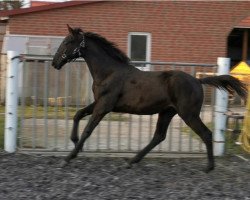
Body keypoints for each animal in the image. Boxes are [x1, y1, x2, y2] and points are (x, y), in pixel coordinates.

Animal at [51, 25, 247, 172]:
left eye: (67, 42)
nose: (54, 63)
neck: (109, 72)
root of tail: (198, 81)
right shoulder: (99, 103)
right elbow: (78, 114)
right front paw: (74, 141)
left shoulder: (104, 106)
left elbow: (88, 130)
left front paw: (69, 157)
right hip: (167, 112)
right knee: (159, 136)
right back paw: (132, 161)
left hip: (189, 114)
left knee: (206, 133)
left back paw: (209, 167)